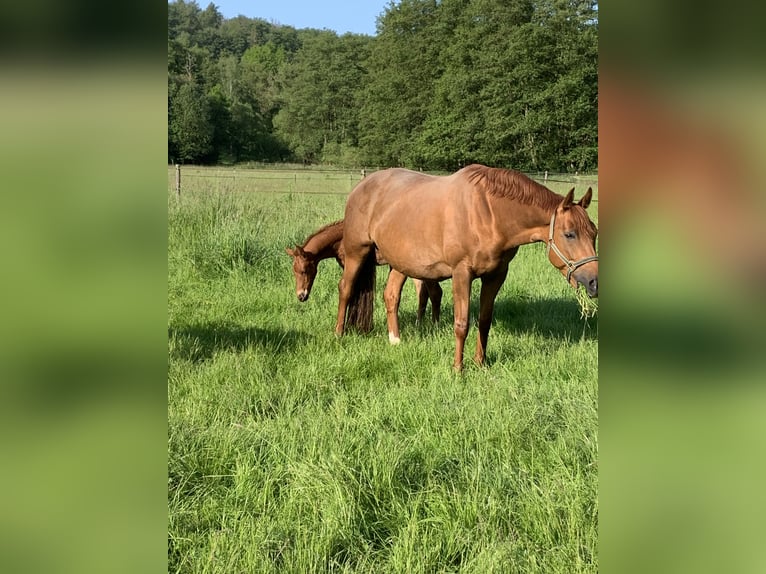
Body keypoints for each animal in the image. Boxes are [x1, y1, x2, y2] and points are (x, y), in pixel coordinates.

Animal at [286, 220, 444, 330]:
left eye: (303, 270)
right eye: (294, 271)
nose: (301, 296)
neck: (341, 239)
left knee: (434, 292)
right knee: (424, 293)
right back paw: (421, 324)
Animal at [336, 165, 600, 374]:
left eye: (593, 233)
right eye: (570, 234)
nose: (594, 282)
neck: (489, 214)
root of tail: (362, 186)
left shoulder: (496, 275)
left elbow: (484, 320)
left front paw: (480, 363)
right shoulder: (462, 273)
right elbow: (461, 324)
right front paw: (458, 368)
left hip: (400, 262)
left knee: (391, 296)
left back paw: (395, 340)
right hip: (357, 251)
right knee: (346, 289)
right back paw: (339, 334)